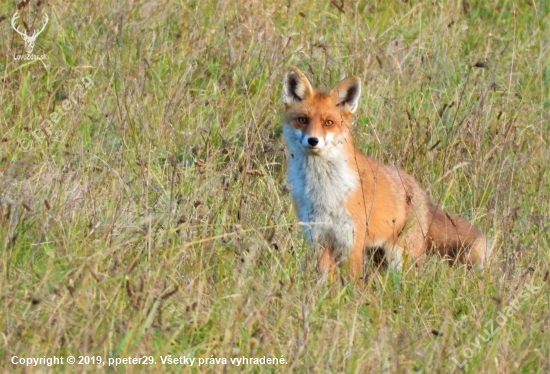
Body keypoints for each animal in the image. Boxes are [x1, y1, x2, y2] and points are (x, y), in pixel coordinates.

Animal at [284, 66, 492, 280]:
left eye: (328, 122)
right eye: (303, 120)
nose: (313, 140)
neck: (323, 190)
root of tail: (422, 194)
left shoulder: (352, 243)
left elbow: (353, 282)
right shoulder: (319, 240)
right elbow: (327, 281)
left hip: (401, 257)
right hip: (379, 256)